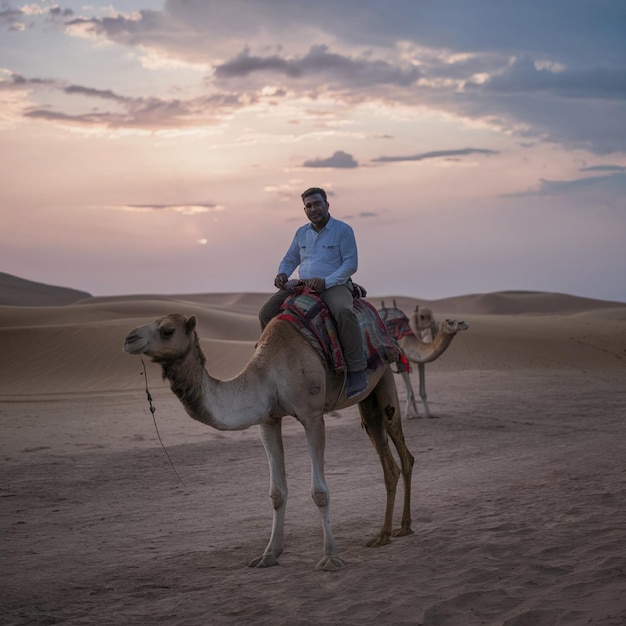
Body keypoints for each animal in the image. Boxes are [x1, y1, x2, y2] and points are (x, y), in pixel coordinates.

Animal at [122, 310, 414, 568]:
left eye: (167, 330)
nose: (129, 338)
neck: (268, 376)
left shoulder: (311, 416)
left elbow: (319, 492)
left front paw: (330, 557)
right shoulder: (268, 421)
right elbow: (277, 492)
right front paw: (269, 554)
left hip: (384, 377)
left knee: (403, 452)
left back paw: (404, 528)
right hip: (367, 403)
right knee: (387, 459)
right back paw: (383, 535)